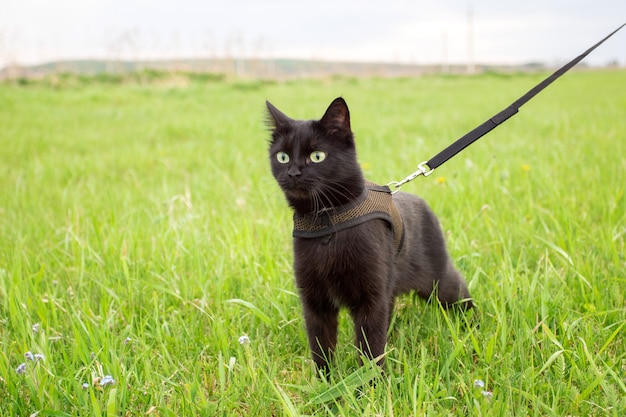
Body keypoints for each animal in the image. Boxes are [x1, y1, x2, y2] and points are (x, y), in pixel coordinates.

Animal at [266, 96, 470, 370]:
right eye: (283, 157)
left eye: (317, 156)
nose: (293, 173)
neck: (328, 222)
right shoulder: (315, 301)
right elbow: (321, 347)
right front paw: (325, 380)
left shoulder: (371, 299)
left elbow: (371, 347)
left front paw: (370, 381)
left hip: (438, 281)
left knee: (459, 292)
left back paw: (475, 324)